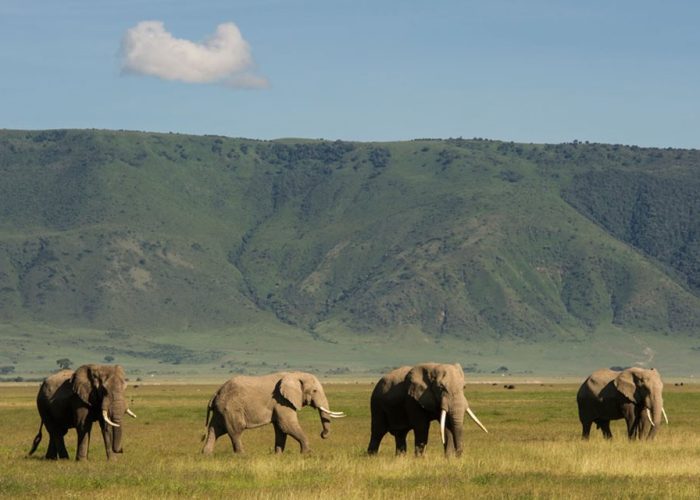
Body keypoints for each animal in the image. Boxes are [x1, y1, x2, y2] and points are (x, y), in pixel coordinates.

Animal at [201, 372, 346, 454]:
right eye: (315, 391)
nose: (323, 434)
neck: (294, 374)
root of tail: (215, 393)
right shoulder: (281, 400)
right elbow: (286, 425)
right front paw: (307, 454)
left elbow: (281, 429)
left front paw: (278, 455)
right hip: (231, 408)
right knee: (235, 430)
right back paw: (242, 455)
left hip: (221, 410)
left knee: (215, 430)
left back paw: (206, 454)